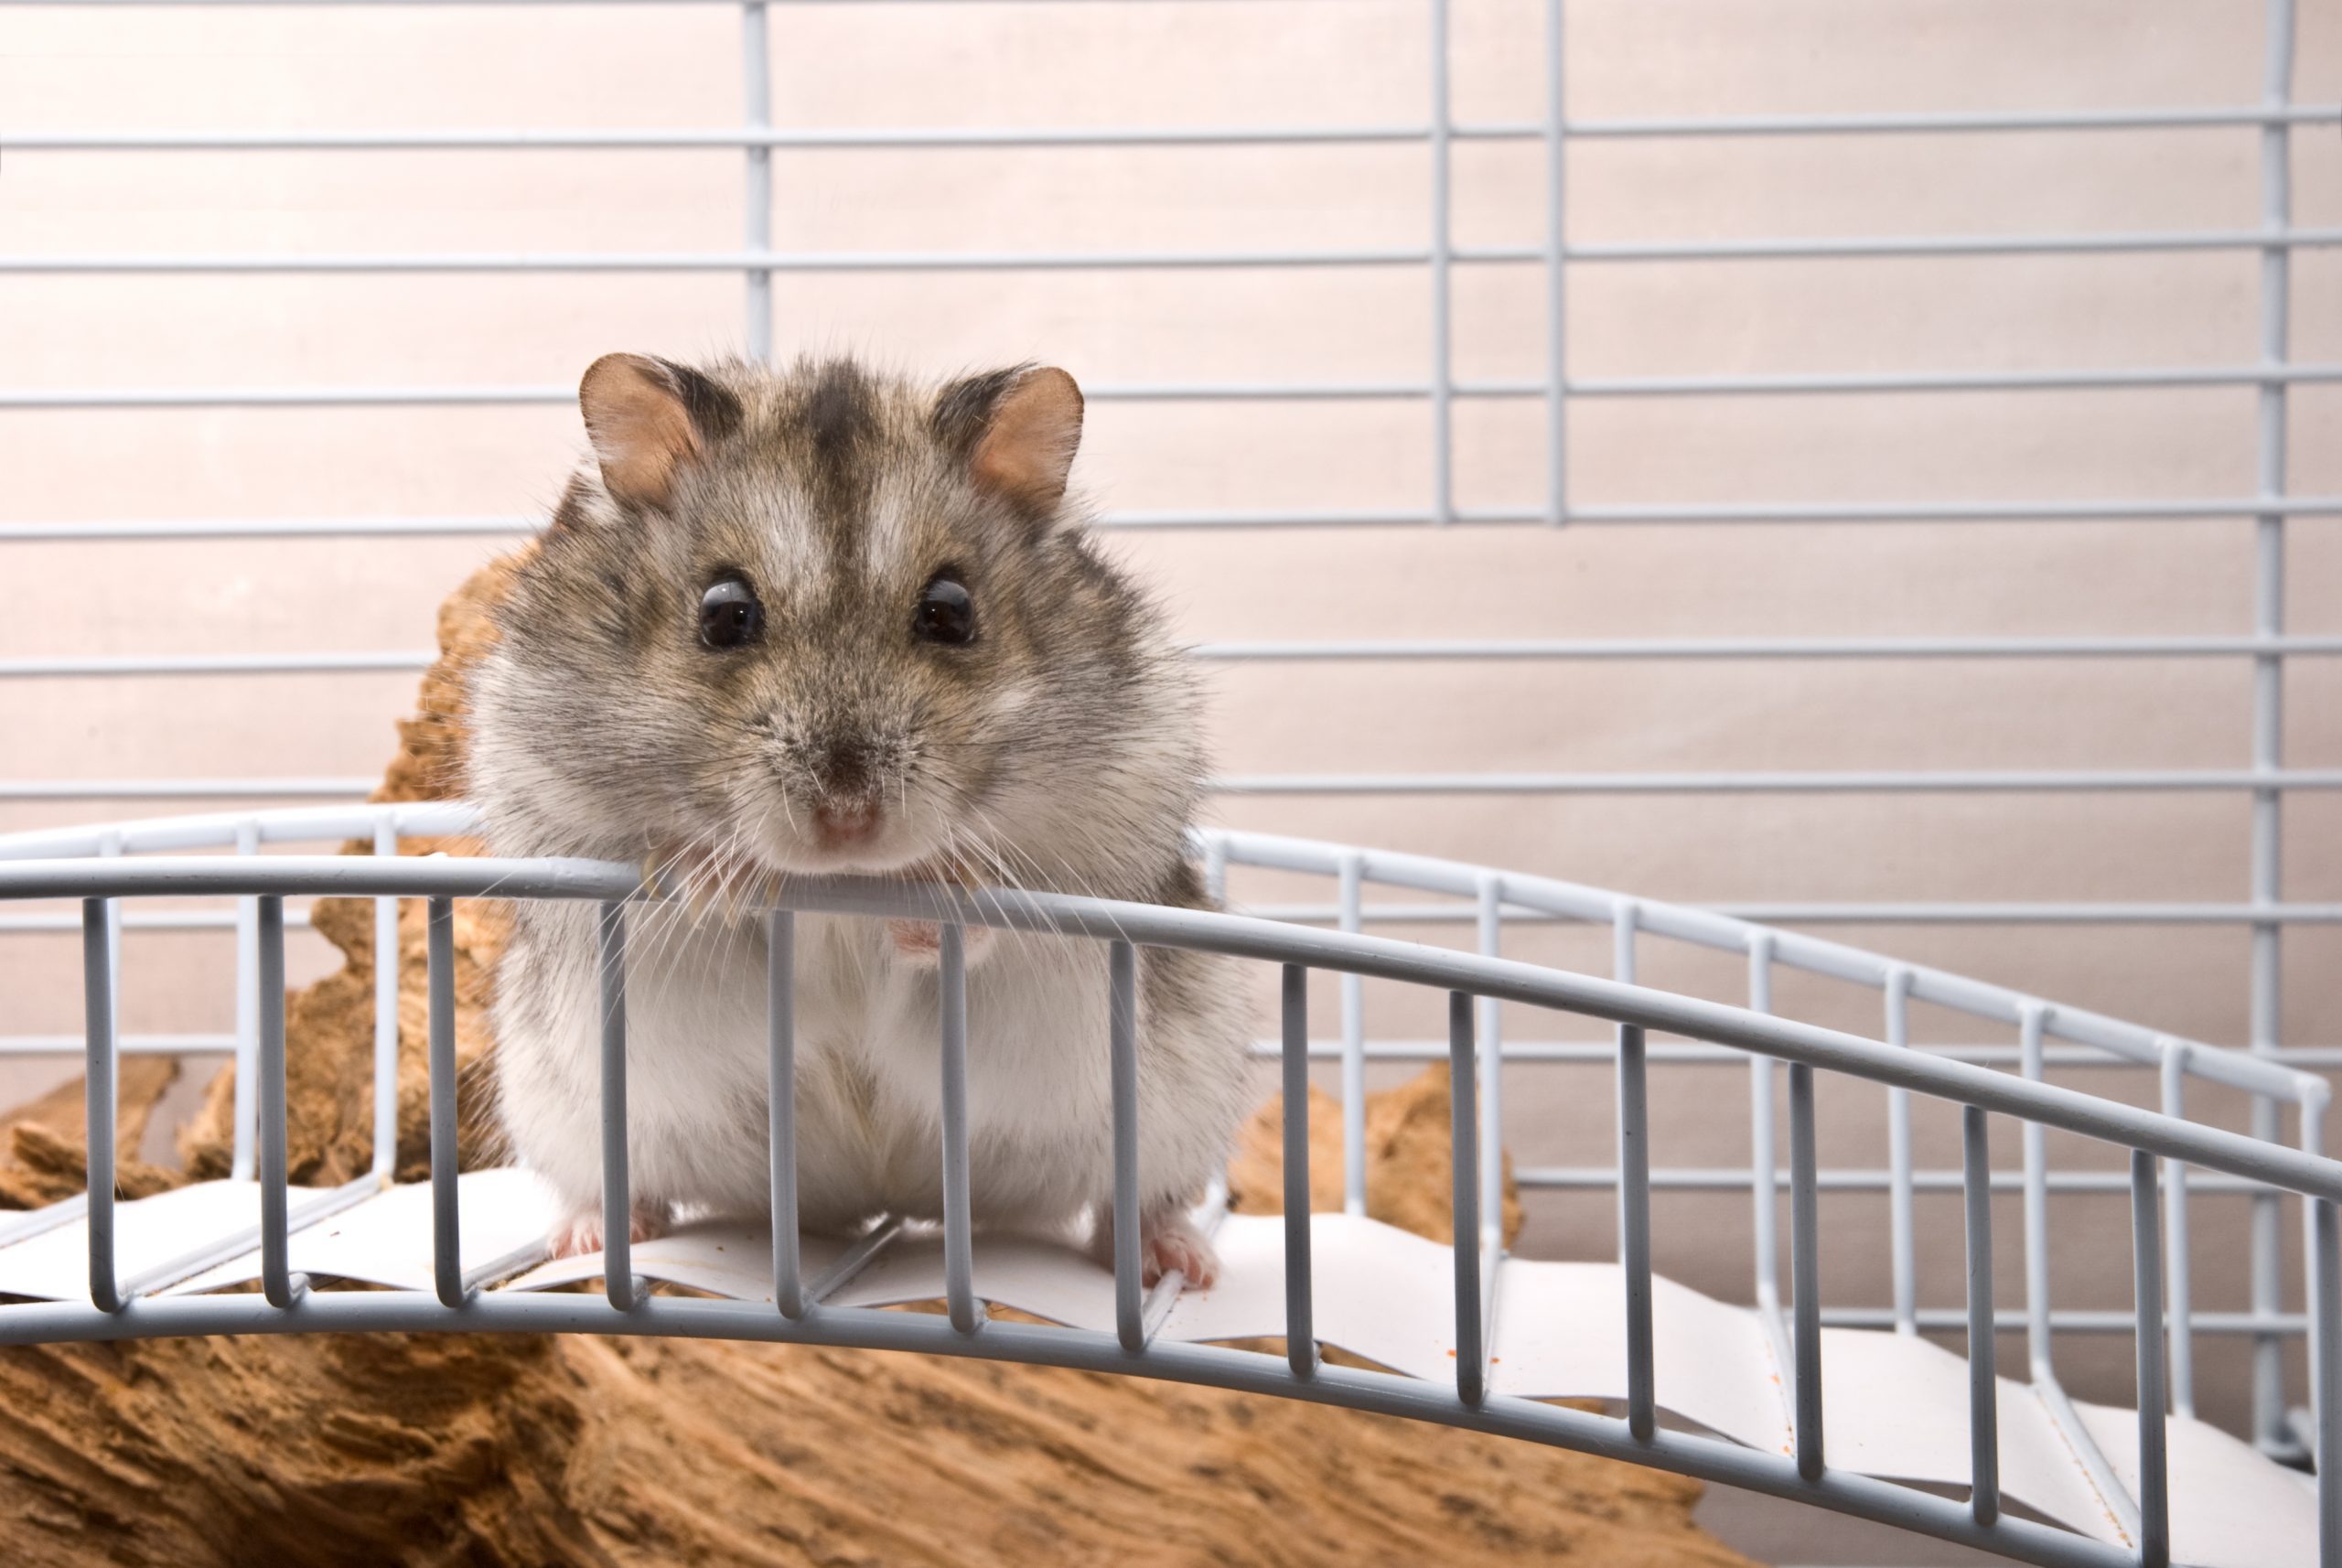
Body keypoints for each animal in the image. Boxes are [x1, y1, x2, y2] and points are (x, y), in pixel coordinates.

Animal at [468, 352, 1253, 1288]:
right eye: (723, 612)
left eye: (951, 609)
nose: (848, 819)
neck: (843, 888)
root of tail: (882, 1203)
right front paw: (713, 875)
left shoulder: (1100, 847)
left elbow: (997, 921)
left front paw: (941, 887)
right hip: (562, 1109)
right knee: (614, 1186)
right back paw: (589, 1237)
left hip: (1179, 1108)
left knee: (1132, 1204)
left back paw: (1178, 1261)